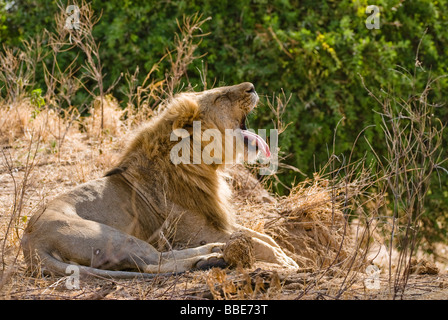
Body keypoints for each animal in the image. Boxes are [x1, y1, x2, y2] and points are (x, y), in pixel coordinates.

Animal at [22, 82, 300, 278]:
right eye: (219, 97)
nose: (251, 86)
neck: (202, 166)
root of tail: (32, 244)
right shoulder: (197, 230)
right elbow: (259, 242)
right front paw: (288, 262)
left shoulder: (215, 223)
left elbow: (262, 237)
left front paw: (285, 254)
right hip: (116, 237)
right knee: (153, 263)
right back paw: (210, 259)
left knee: (162, 257)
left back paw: (213, 252)